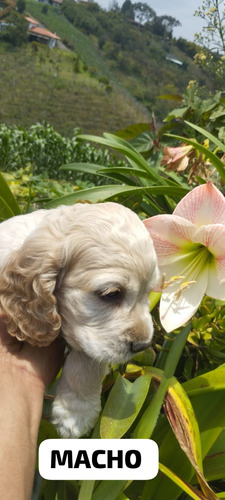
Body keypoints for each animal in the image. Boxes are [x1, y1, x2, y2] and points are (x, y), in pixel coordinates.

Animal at [0, 203, 159, 438]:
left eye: (149, 292)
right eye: (111, 294)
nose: (143, 346)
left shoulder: (93, 339)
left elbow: (87, 360)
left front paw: (75, 413)